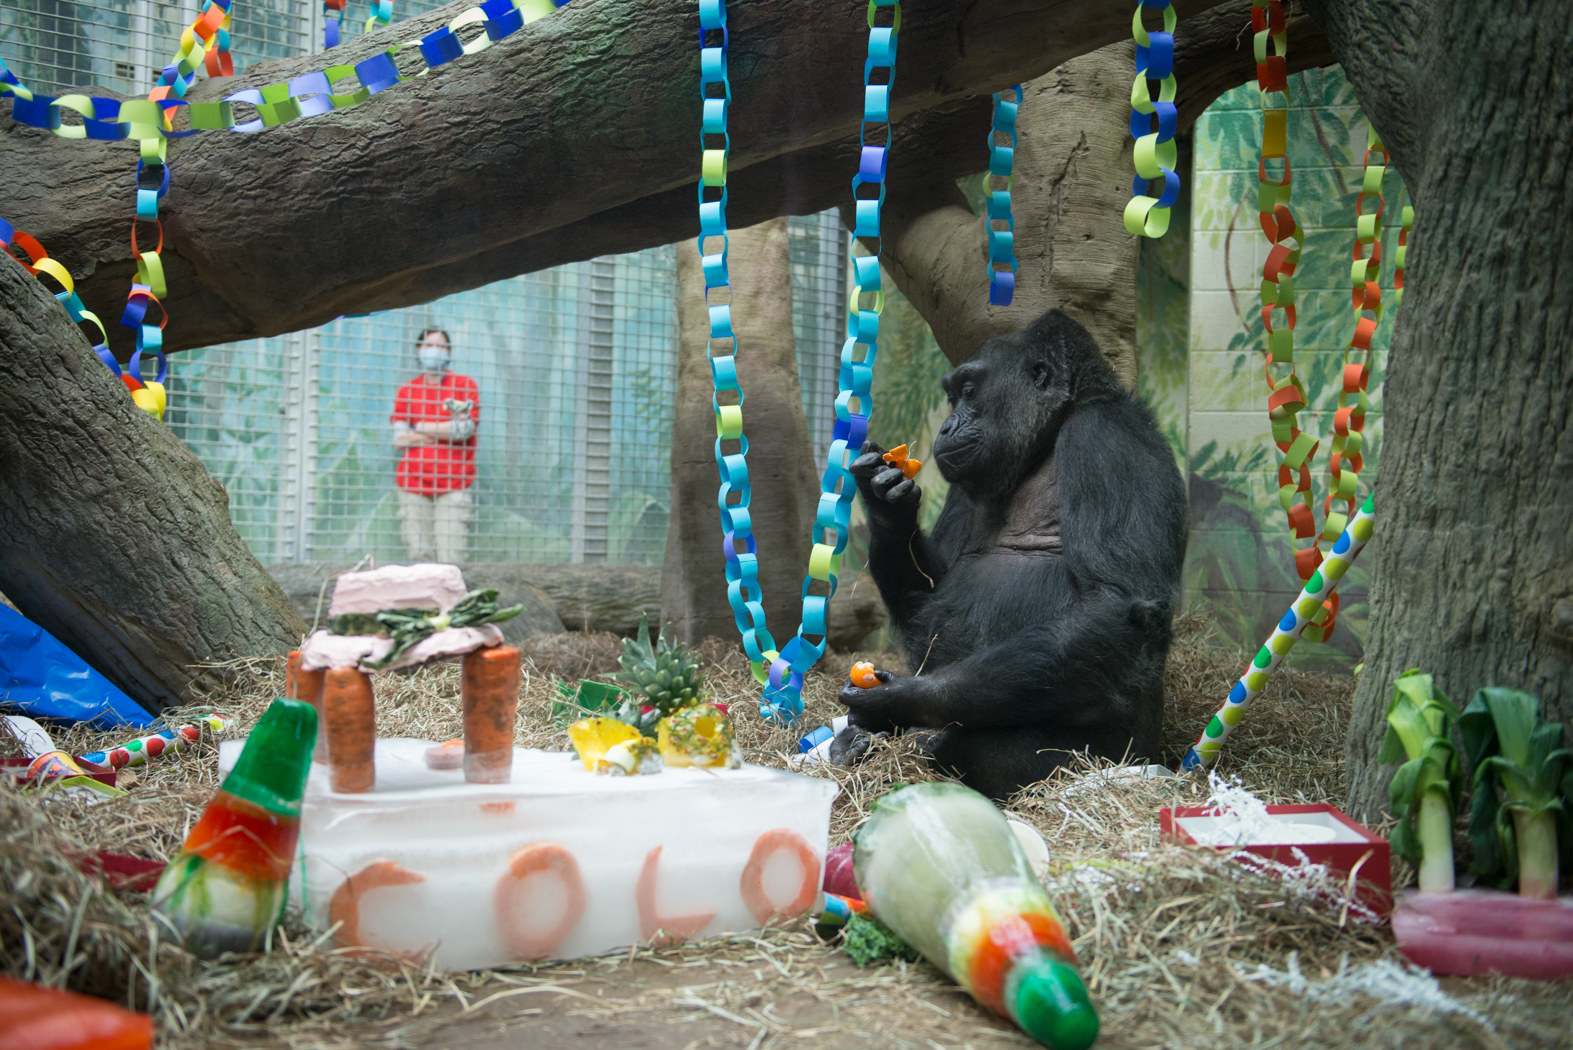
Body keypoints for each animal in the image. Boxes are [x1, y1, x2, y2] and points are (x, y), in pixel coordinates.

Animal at [836, 308, 1182, 798]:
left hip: (1115, 758)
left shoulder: (1106, 438)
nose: (946, 427)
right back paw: (850, 746)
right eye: (952, 397)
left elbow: (1116, 603)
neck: (1048, 437)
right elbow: (927, 593)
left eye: (968, 391)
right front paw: (887, 504)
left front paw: (899, 700)